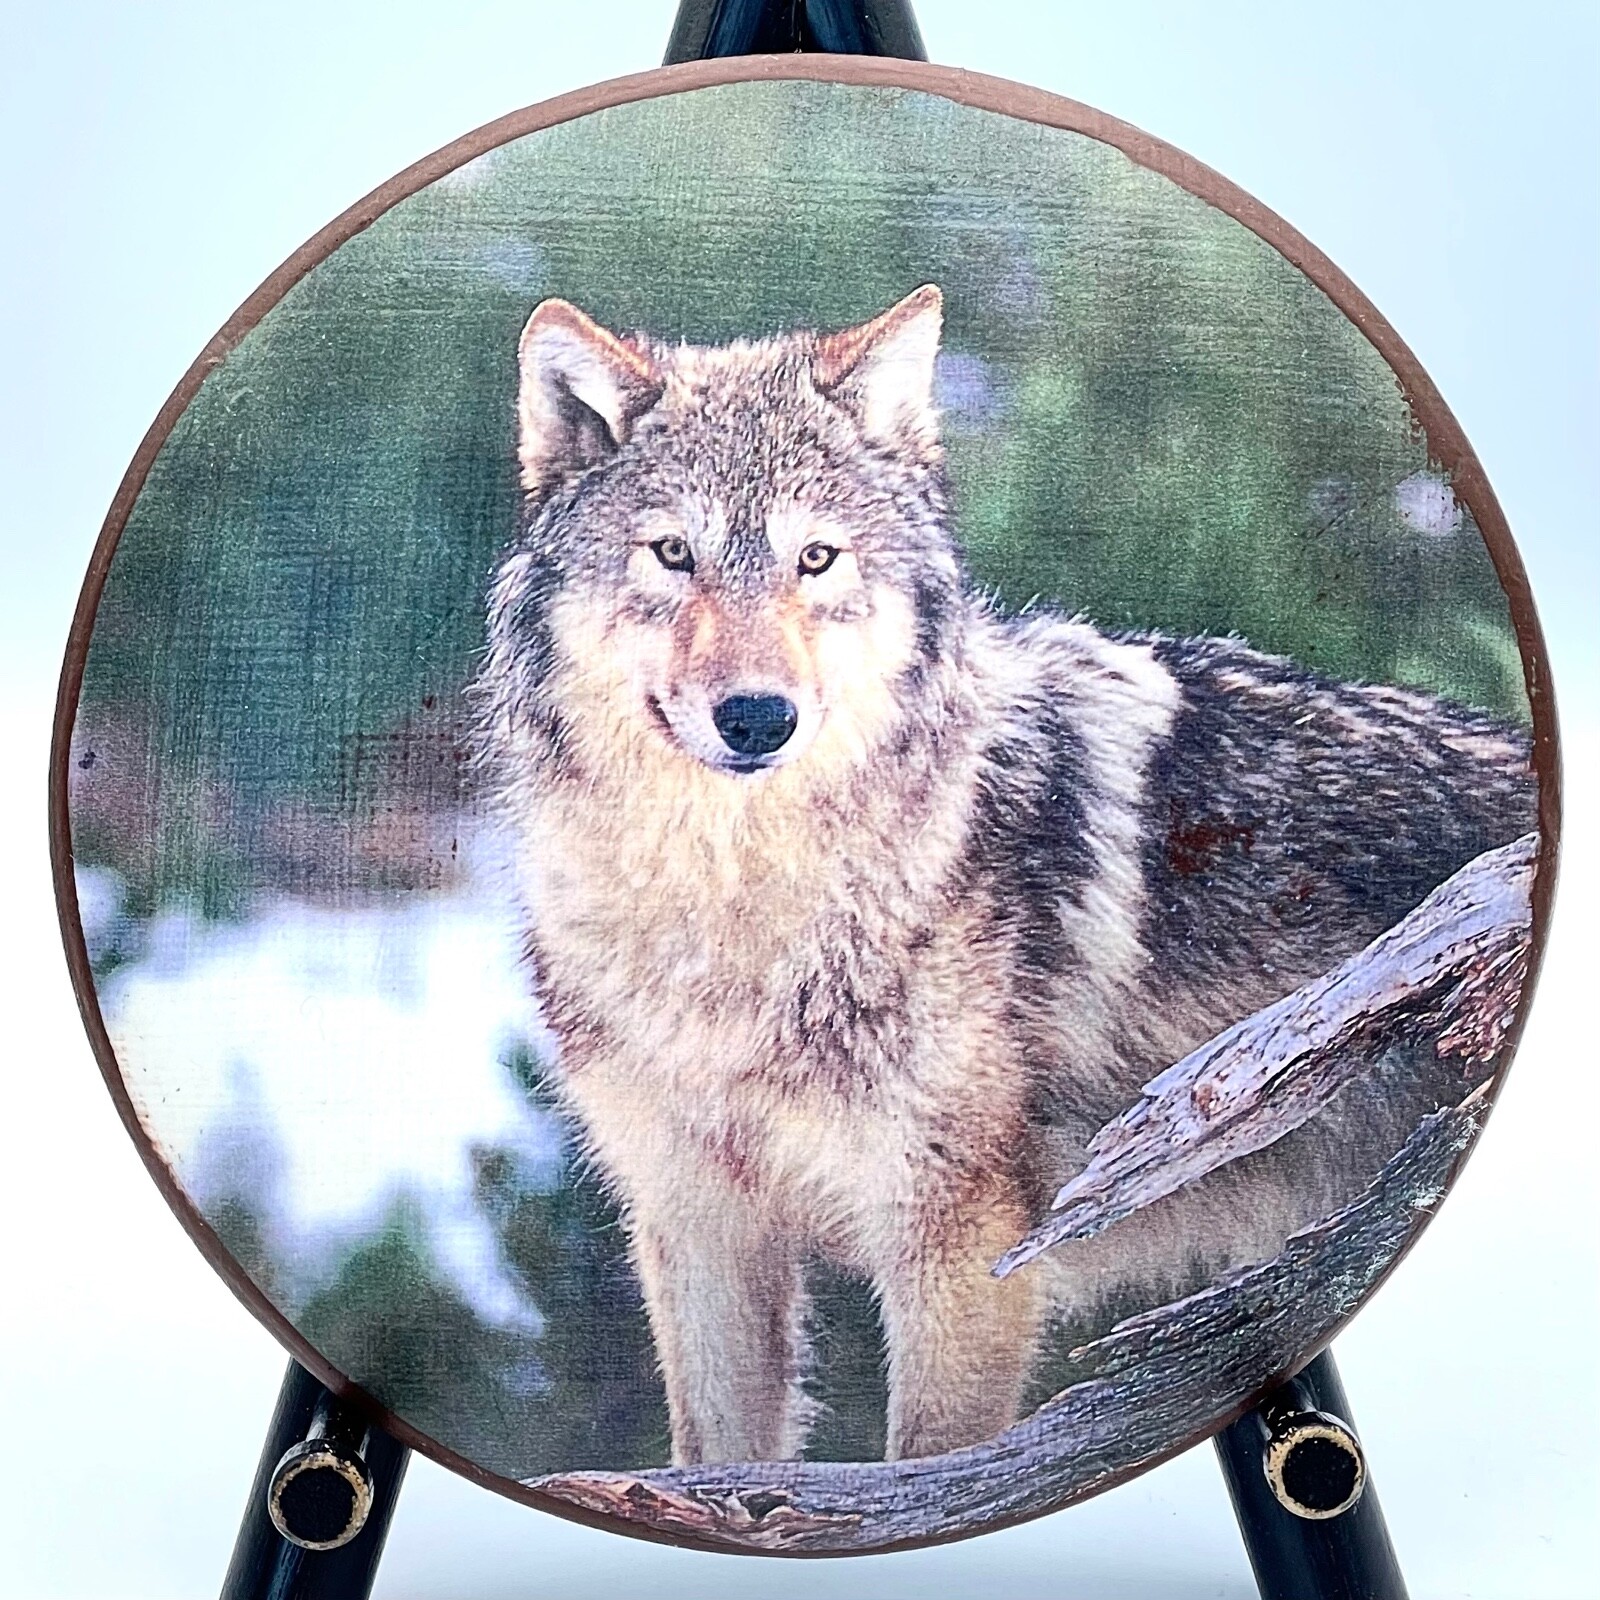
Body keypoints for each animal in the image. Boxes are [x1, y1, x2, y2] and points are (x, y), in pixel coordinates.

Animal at [476, 285, 1535, 1467]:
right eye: (671, 553)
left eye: (816, 559)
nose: (757, 718)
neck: (735, 914)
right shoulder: (701, 1223)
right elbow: (716, 1463)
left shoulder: (959, 1241)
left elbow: (925, 1463)